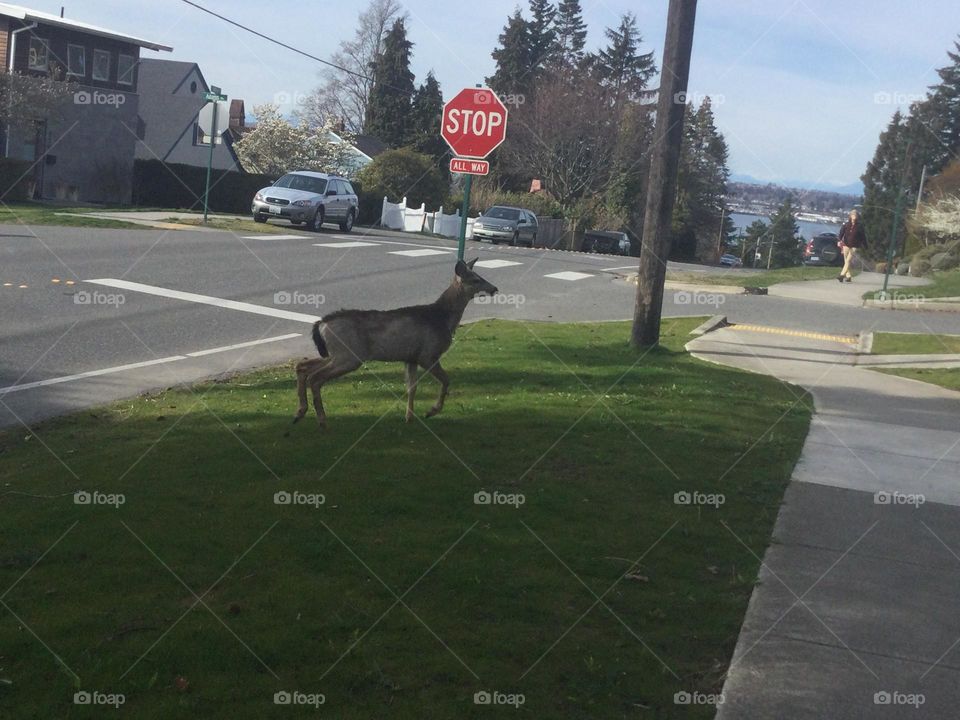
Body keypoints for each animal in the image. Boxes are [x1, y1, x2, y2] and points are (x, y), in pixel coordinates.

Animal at [293, 258, 498, 427]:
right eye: (475, 279)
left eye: (480, 276)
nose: (494, 288)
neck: (443, 318)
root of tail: (321, 324)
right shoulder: (428, 354)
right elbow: (446, 380)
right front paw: (431, 411)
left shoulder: (411, 358)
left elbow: (412, 388)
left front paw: (409, 417)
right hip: (349, 356)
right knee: (315, 378)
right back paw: (321, 420)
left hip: (337, 353)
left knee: (302, 366)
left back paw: (300, 412)